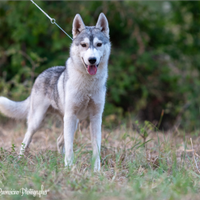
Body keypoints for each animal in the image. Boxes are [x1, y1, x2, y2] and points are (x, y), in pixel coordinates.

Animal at [0, 13, 110, 171]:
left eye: (99, 44)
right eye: (83, 45)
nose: (92, 60)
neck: (87, 84)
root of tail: (41, 74)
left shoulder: (95, 117)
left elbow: (96, 148)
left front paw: (96, 171)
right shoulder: (71, 116)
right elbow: (70, 147)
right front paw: (69, 169)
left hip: (73, 122)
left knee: (59, 141)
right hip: (39, 121)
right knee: (26, 140)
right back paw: (19, 160)